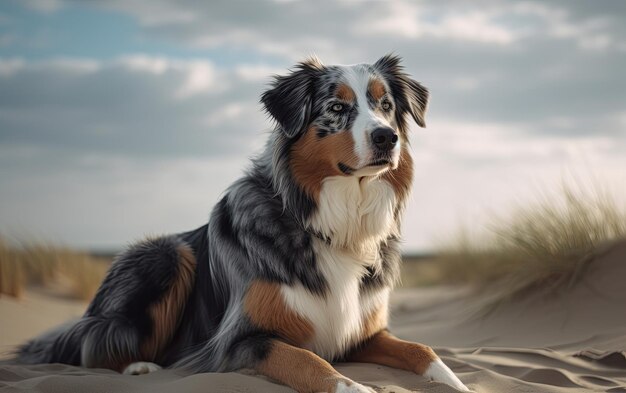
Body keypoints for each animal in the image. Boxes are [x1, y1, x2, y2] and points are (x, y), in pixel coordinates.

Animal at [17, 54, 468, 392]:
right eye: (337, 108)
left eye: (385, 105)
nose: (387, 138)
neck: (335, 222)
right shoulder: (241, 340)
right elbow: (309, 362)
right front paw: (354, 387)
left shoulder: (361, 334)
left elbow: (423, 350)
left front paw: (458, 383)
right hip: (167, 255)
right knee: (96, 346)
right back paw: (140, 368)